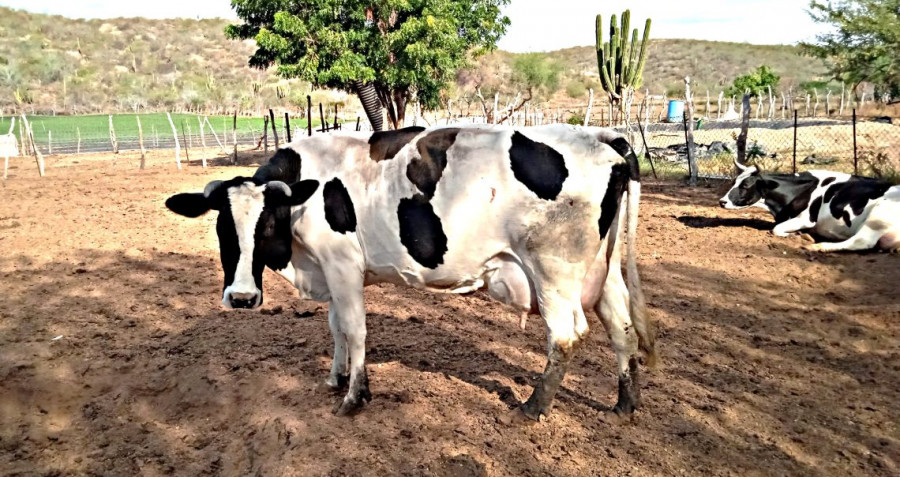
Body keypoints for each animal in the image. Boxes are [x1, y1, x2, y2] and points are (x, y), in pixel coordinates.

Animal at [165, 124, 656, 418]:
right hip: (602, 271)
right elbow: (335, 327)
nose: (242, 298)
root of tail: (604, 138)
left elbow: (354, 329)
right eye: (222, 228)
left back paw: (533, 407)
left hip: (554, 271)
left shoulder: (342, 263)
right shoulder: (330, 270)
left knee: (568, 336)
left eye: (268, 225)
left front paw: (354, 395)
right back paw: (625, 403)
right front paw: (336, 377)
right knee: (622, 328)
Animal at [716, 161, 900, 253]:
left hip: (877, 215)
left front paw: (797, 235)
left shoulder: (806, 219)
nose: (722, 201)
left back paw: (815, 246)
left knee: (861, 241)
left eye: (745, 185)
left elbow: (776, 229)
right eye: (734, 182)